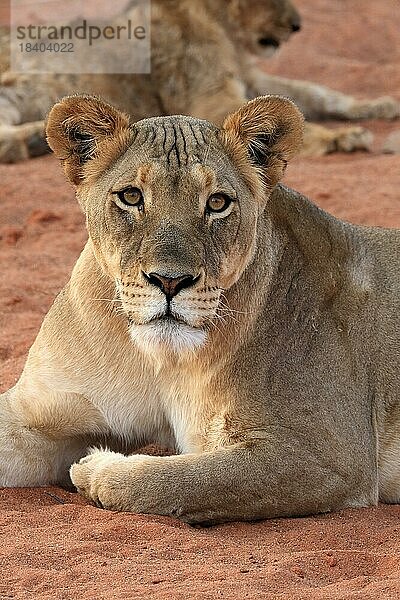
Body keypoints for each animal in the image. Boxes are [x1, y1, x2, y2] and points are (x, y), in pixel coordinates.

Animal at [0, 0, 396, 162]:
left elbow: (318, 94)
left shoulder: (251, 79)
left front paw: (381, 105)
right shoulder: (210, 99)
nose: (297, 25)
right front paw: (343, 138)